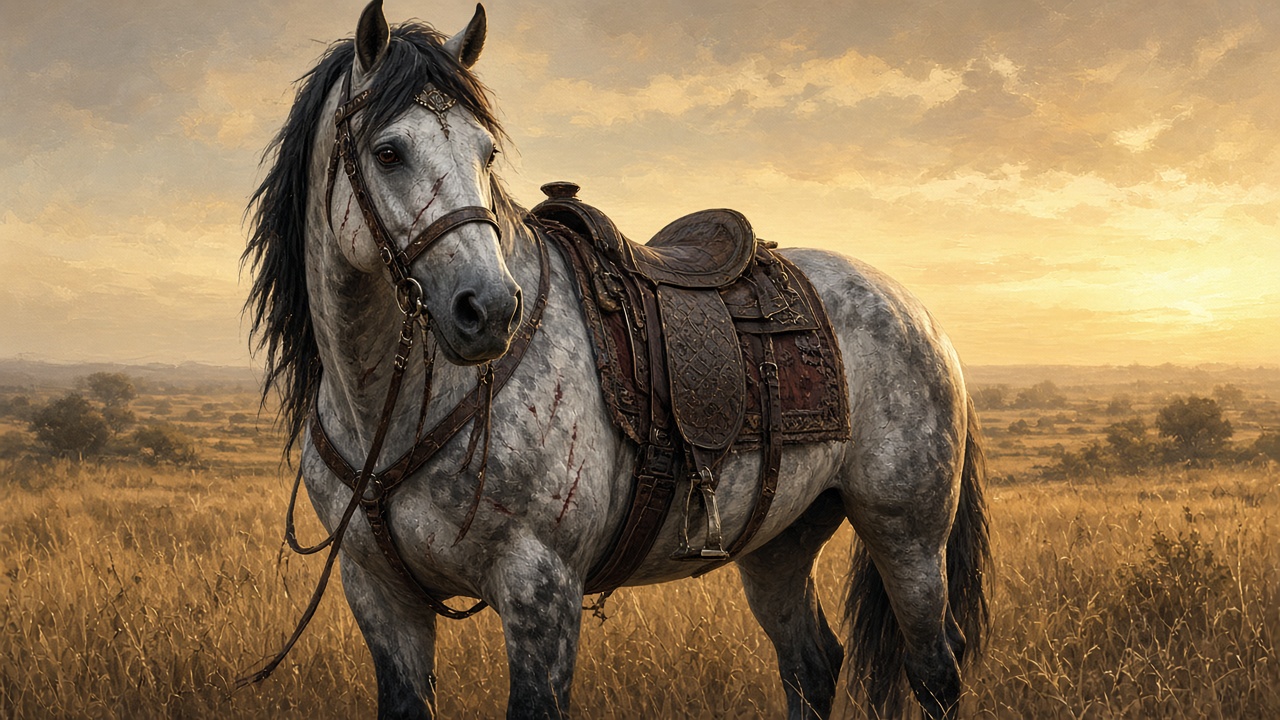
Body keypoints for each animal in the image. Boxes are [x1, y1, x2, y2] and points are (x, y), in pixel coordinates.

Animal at [242, 2, 990, 718]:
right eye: (388, 152)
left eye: (487, 153)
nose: (490, 309)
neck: (390, 408)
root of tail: (923, 317)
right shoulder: (382, 599)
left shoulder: (540, 591)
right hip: (779, 543)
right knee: (810, 664)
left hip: (909, 538)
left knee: (935, 670)